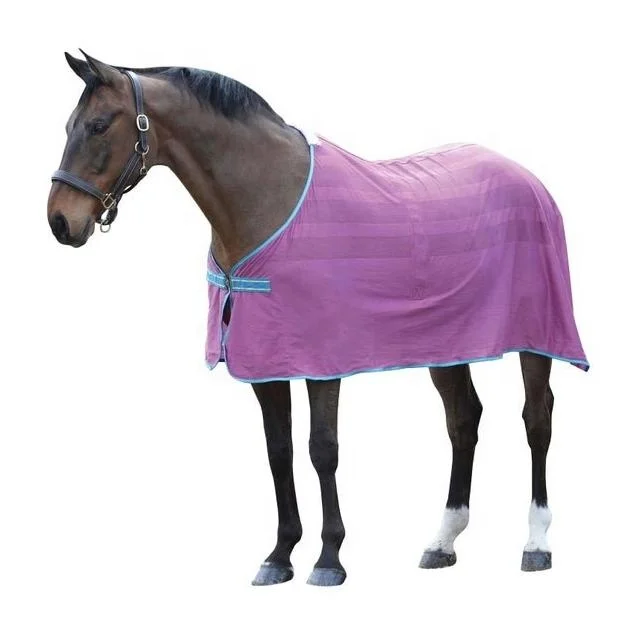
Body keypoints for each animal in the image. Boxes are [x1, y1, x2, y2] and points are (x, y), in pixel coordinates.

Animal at [47, 51, 588, 586]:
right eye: (70, 124)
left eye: (98, 126)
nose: (60, 222)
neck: (267, 200)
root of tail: (529, 179)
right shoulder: (265, 362)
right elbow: (279, 451)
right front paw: (280, 554)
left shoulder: (322, 361)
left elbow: (322, 449)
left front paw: (329, 558)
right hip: (448, 343)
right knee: (464, 420)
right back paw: (442, 541)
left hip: (537, 337)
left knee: (537, 420)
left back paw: (536, 543)